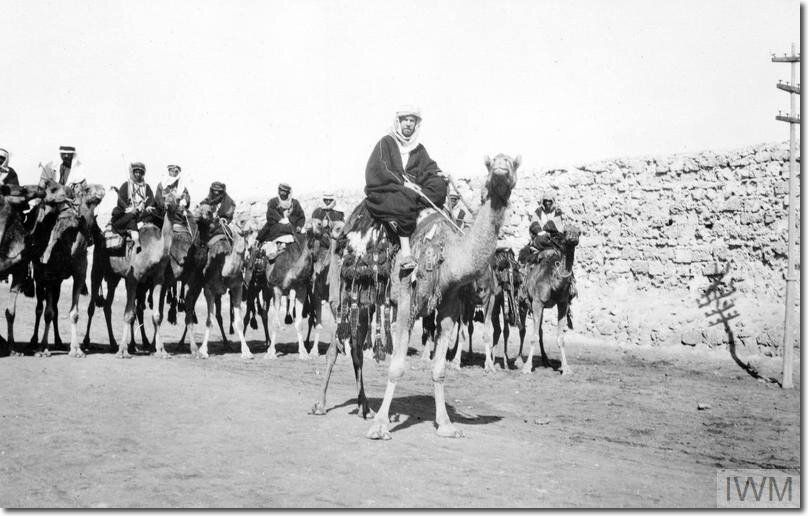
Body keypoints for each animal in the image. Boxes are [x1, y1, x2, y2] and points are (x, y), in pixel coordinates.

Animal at [29, 183, 106, 356]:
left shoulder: (79, 275)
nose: (102, 189)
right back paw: (34, 341)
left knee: (55, 308)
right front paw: (44, 347)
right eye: (87, 189)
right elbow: (48, 313)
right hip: (39, 277)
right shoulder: (50, 276)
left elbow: (73, 313)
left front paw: (76, 349)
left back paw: (58, 341)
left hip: (58, 282)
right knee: (39, 308)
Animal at [185, 208, 258, 360]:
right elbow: (209, 321)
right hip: (195, 283)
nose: (252, 246)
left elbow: (238, 322)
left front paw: (246, 352)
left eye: (257, 228)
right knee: (188, 305)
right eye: (243, 222)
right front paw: (203, 351)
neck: (224, 267)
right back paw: (190, 347)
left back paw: (225, 344)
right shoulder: (208, 290)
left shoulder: (237, 287)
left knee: (216, 314)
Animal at [364, 154, 516, 440]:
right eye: (490, 163)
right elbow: (397, 367)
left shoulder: (450, 305)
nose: (502, 163)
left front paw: (445, 424)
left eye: (515, 163)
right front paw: (379, 426)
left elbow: (439, 368)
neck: (449, 258)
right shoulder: (407, 299)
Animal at [516, 226, 580, 374]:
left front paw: (566, 368)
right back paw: (519, 360)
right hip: (522, 301)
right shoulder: (537, 302)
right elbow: (533, 337)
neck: (554, 283)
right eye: (565, 231)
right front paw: (527, 368)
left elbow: (560, 338)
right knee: (522, 329)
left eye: (580, 232)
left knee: (539, 330)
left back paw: (546, 360)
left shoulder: (562, 303)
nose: (574, 236)